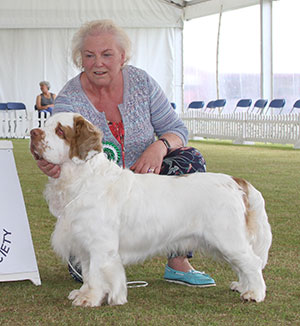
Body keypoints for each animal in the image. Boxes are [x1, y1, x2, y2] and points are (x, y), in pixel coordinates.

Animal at [29, 112, 272, 306]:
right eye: (44, 123)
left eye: (60, 130)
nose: (33, 133)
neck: (81, 179)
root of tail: (236, 181)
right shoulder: (84, 244)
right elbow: (88, 274)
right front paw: (83, 293)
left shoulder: (100, 245)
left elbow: (98, 273)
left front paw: (90, 299)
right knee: (243, 265)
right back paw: (243, 287)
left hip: (227, 238)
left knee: (252, 262)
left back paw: (254, 293)